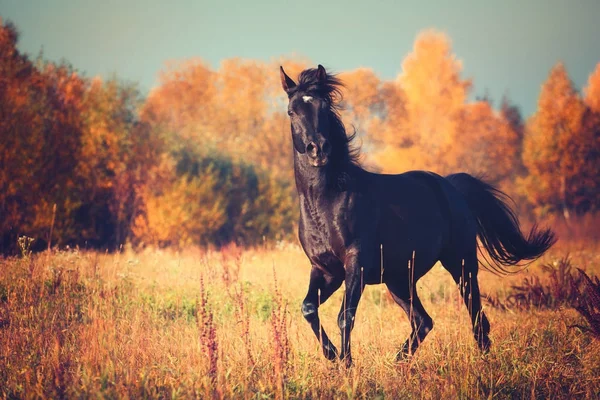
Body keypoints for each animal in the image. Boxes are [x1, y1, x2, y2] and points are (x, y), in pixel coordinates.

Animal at [278, 64, 556, 368]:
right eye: (292, 111)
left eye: (324, 107)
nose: (318, 149)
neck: (326, 202)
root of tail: (451, 187)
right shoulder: (325, 270)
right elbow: (308, 308)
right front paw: (332, 356)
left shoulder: (355, 265)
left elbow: (345, 316)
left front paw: (346, 364)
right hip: (399, 279)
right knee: (424, 322)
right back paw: (398, 362)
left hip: (461, 264)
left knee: (476, 316)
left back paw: (481, 361)